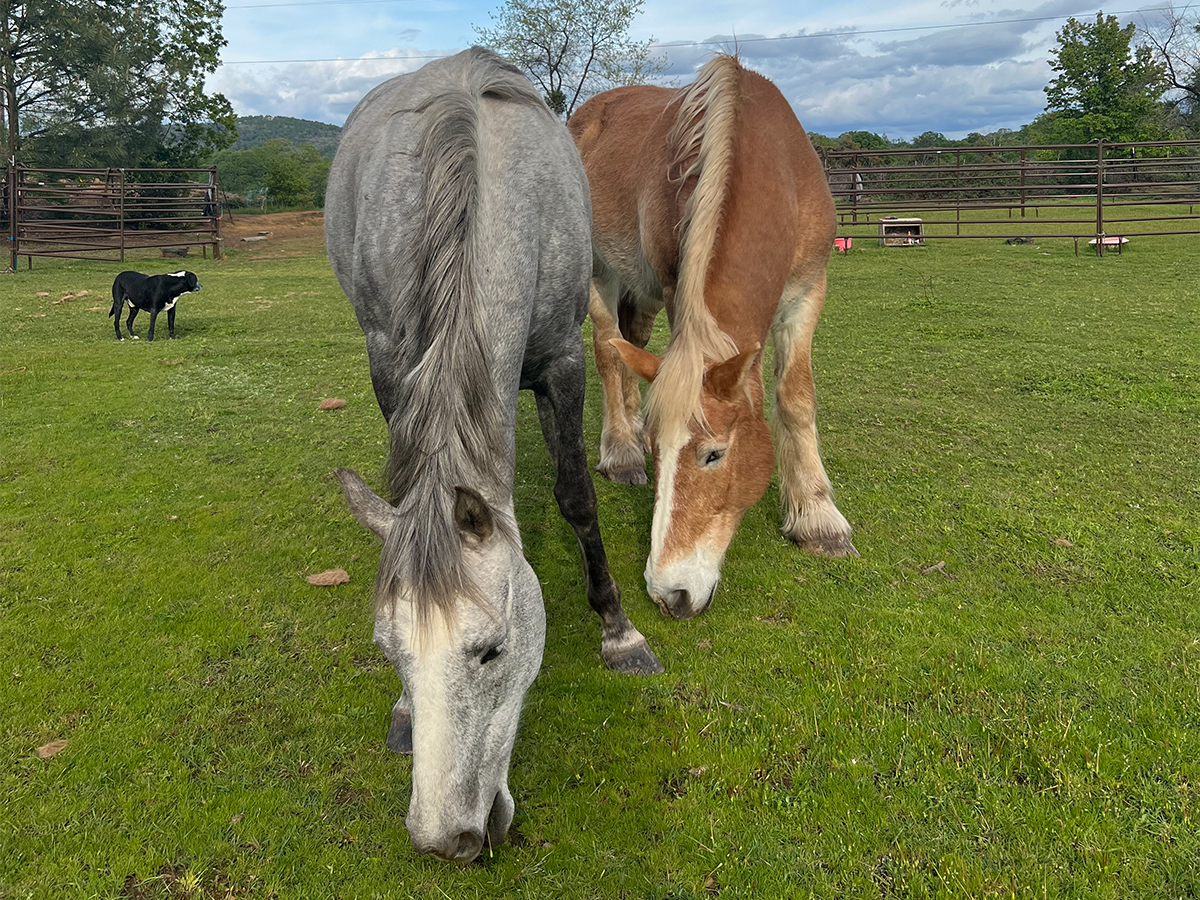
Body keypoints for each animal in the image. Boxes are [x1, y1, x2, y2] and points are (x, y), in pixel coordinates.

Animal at [324, 47, 662, 863]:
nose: (443, 838)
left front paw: (620, 632)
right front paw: (403, 710)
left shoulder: (563, 361)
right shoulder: (391, 363)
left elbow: (577, 496)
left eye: (493, 651)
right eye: (390, 652)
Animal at [568, 54, 856, 622]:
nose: (669, 593)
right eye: (662, 454)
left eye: (714, 455)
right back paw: (621, 450)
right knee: (609, 353)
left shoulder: (809, 292)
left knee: (631, 344)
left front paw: (818, 517)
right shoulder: (678, 289)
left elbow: (795, 398)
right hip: (599, 271)